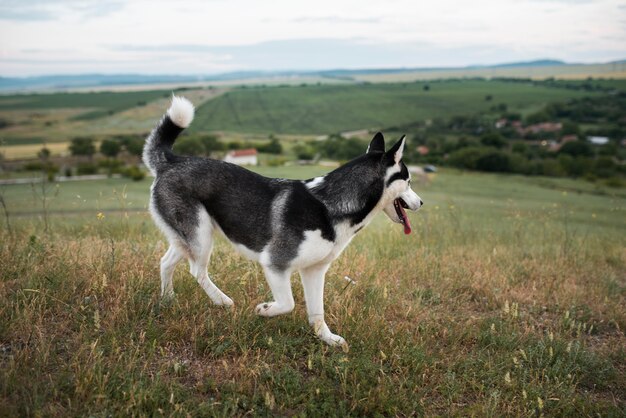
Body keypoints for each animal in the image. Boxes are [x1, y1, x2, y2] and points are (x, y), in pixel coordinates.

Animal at [143, 95, 420, 346]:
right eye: (408, 181)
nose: (421, 202)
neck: (329, 204)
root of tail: (172, 161)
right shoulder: (275, 263)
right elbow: (288, 303)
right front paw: (265, 310)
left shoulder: (314, 270)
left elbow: (317, 313)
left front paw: (327, 339)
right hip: (200, 236)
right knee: (197, 271)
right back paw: (222, 300)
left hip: (187, 237)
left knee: (166, 262)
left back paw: (168, 300)